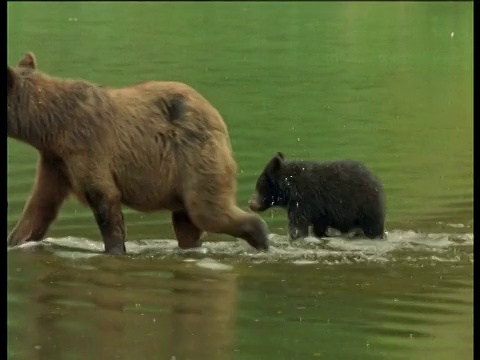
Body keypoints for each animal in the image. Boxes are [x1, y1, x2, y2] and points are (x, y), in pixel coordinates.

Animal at [7, 52, 268, 256]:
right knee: (187, 223)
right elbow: (40, 206)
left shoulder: (85, 146)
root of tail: (217, 116)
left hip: (196, 156)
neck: (52, 126)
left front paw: (114, 248)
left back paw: (261, 238)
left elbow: (104, 197)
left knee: (207, 210)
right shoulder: (55, 160)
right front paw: (15, 240)